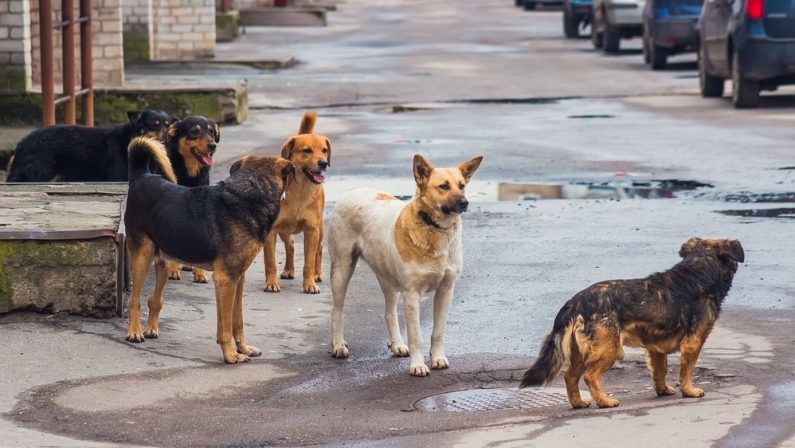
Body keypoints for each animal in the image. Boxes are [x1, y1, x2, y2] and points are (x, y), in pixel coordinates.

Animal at [7, 110, 175, 182]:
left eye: (167, 125)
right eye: (155, 124)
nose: (166, 135)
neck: (130, 138)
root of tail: (22, 143)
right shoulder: (119, 177)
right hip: (40, 172)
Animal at [126, 136, 294, 364]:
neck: (252, 192)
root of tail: (141, 176)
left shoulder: (238, 279)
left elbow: (237, 321)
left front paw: (243, 348)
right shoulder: (225, 280)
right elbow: (225, 326)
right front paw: (231, 354)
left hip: (163, 261)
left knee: (155, 299)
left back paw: (151, 328)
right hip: (142, 256)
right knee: (134, 299)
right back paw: (134, 332)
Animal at [264, 111, 330, 294]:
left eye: (324, 150)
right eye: (307, 151)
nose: (323, 163)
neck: (300, 190)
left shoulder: (311, 231)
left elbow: (309, 262)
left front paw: (309, 284)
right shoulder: (271, 231)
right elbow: (270, 262)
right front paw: (271, 283)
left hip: (320, 229)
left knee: (319, 250)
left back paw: (317, 274)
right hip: (284, 230)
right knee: (291, 245)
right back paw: (288, 269)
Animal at [326, 153, 482, 374]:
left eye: (462, 186)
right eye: (443, 186)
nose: (465, 202)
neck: (433, 228)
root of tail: (353, 191)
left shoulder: (446, 290)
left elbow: (438, 332)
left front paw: (437, 358)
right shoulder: (412, 295)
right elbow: (416, 336)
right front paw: (418, 365)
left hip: (388, 279)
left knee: (389, 312)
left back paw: (397, 344)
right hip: (342, 269)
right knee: (337, 311)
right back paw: (338, 345)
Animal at [524, 238, 748, 410]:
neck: (699, 271)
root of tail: (575, 302)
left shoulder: (656, 348)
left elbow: (660, 370)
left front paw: (663, 390)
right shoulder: (693, 342)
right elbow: (687, 370)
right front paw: (689, 390)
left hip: (581, 352)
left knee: (570, 377)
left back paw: (578, 403)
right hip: (609, 349)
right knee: (590, 376)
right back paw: (604, 401)